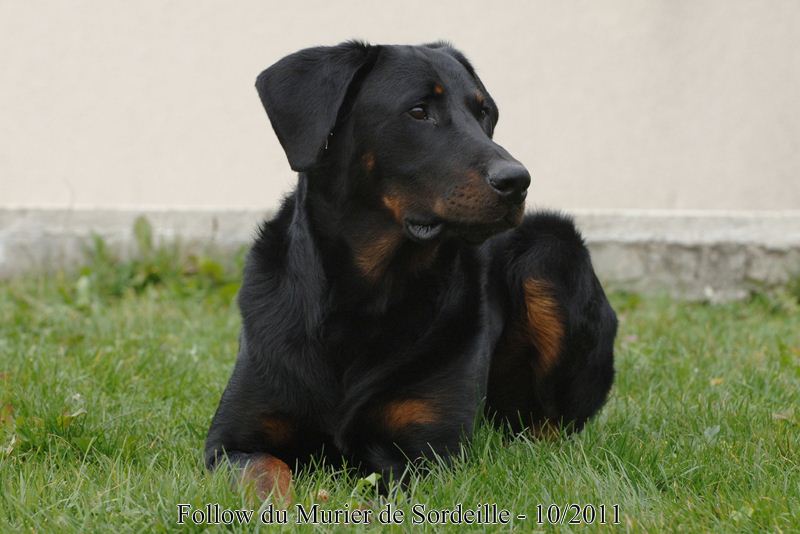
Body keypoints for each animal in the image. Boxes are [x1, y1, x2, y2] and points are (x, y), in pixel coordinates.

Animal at [205, 41, 617, 500]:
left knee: (551, 428)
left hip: (549, 252)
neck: (363, 301)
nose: (517, 181)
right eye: (419, 111)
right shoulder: (230, 442)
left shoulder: (427, 455)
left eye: (484, 113)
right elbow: (264, 474)